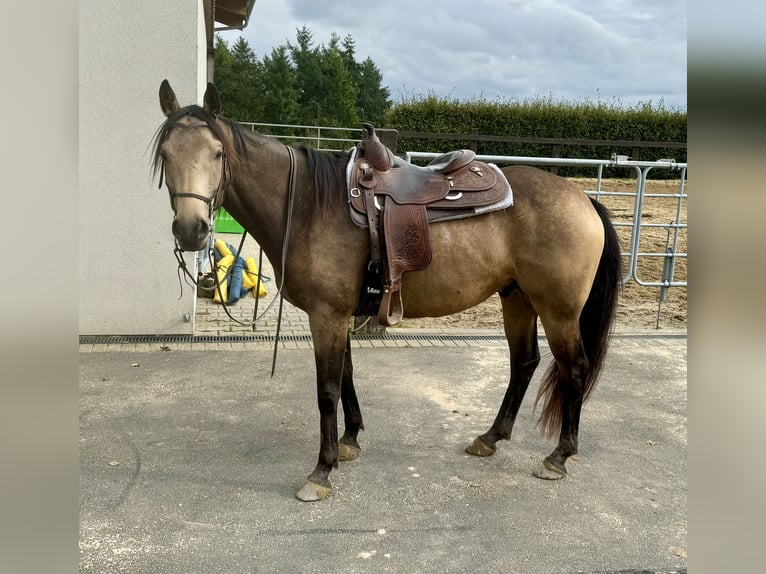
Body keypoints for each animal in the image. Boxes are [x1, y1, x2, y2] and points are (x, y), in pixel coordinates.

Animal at [154, 79, 624, 502]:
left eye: (217, 153)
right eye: (165, 154)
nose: (192, 229)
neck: (306, 204)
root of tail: (583, 199)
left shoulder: (326, 315)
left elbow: (326, 389)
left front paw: (321, 471)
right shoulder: (338, 314)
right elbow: (346, 376)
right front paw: (349, 441)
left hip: (558, 310)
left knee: (574, 369)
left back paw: (559, 456)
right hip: (518, 299)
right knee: (524, 363)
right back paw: (491, 437)